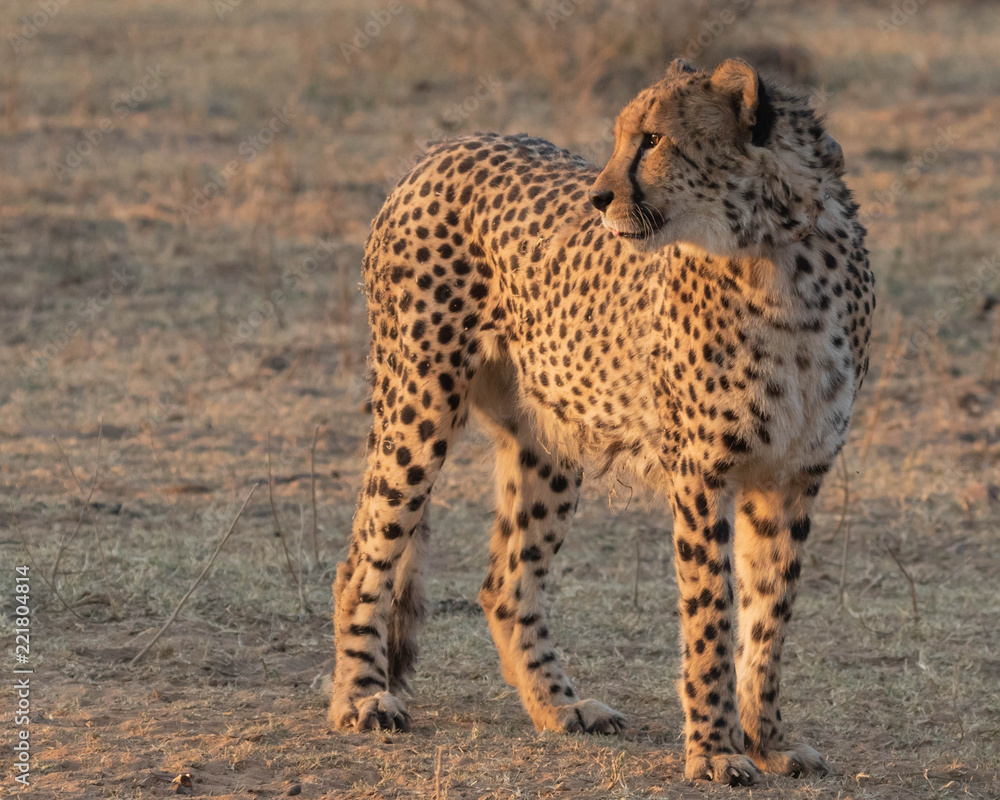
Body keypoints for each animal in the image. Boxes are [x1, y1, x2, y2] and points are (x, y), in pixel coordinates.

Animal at [328, 57, 874, 786]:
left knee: (505, 583)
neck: (777, 257)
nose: (598, 198)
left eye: (654, 139)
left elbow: (768, 617)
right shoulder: (703, 472)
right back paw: (360, 698)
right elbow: (712, 615)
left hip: (548, 439)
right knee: (366, 553)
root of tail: (440, 149)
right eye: (619, 138)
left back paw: (561, 706)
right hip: (419, 404)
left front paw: (769, 739)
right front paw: (715, 750)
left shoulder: (794, 475)